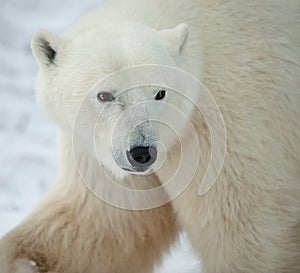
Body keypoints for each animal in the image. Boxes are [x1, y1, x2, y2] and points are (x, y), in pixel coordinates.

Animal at [0, 0, 300, 270]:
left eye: (160, 93)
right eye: (104, 95)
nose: (142, 153)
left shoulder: (227, 130)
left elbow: (246, 233)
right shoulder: (98, 155)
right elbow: (98, 227)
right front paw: (23, 261)